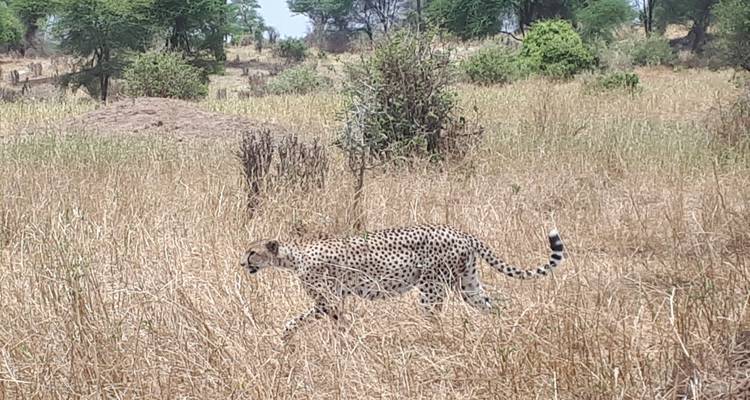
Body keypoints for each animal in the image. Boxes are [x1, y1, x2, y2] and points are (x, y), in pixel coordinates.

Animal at [240, 225, 565, 341]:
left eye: (252, 252)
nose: (242, 264)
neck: (293, 256)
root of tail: (460, 231)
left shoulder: (328, 300)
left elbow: (304, 319)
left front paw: (286, 337)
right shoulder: (333, 301)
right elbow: (333, 322)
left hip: (431, 287)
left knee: (434, 318)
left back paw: (425, 338)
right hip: (468, 285)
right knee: (493, 306)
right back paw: (507, 329)